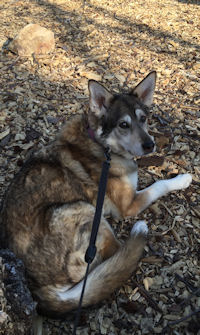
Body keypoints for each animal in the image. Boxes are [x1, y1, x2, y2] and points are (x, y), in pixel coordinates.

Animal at [0, 71, 192, 318]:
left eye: (143, 119)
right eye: (123, 125)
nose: (150, 145)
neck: (102, 144)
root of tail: (39, 291)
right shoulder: (128, 204)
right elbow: (158, 184)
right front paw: (182, 179)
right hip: (85, 210)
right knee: (118, 254)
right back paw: (137, 235)